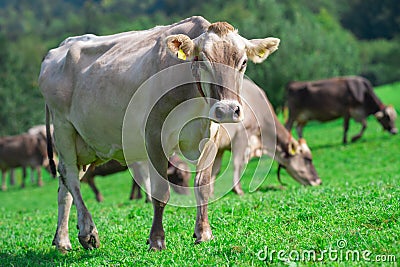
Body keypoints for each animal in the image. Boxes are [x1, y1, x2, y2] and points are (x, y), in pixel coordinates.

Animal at [39, 17, 280, 253]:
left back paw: (62, 240)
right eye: (202, 60)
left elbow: (203, 186)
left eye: (243, 62)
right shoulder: (154, 134)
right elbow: (161, 193)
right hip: (63, 128)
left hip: (86, 143)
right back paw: (87, 232)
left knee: (65, 187)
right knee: (70, 176)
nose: (228, 110)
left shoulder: (210, 136)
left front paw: (203, 234)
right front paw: (156, 240)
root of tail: (61, 47)